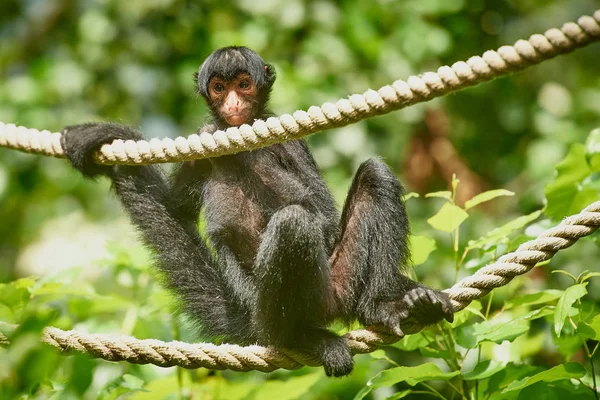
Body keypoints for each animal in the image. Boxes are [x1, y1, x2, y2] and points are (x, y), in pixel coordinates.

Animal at [62, 45, 454, 376]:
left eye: (244, 85)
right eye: (219, 88)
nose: (234, 102)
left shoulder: (289, 142)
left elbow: (325, 220)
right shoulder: (201, 138)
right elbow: (176, 210)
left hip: (340, 276)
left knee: (370, 178)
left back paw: (381, 305)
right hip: (274, 306)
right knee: (293, 225)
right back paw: (303, 337)